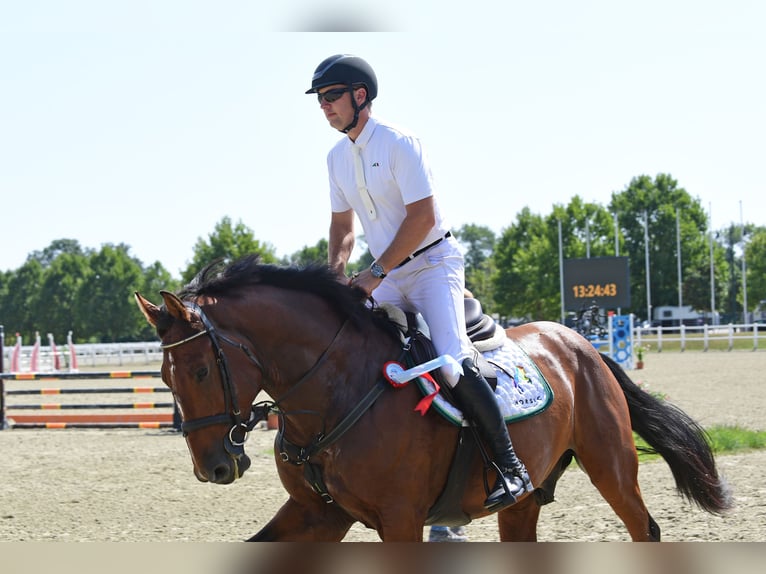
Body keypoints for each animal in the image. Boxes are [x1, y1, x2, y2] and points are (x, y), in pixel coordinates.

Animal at [136, 258, 732, 544]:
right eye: (165, 377)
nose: (214, 467)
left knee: (644, 529)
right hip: (526, 499)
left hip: (611, 467)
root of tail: (581, 343)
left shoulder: (399, 520)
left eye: (201, 369)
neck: (332, 394)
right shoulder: (317, 514)